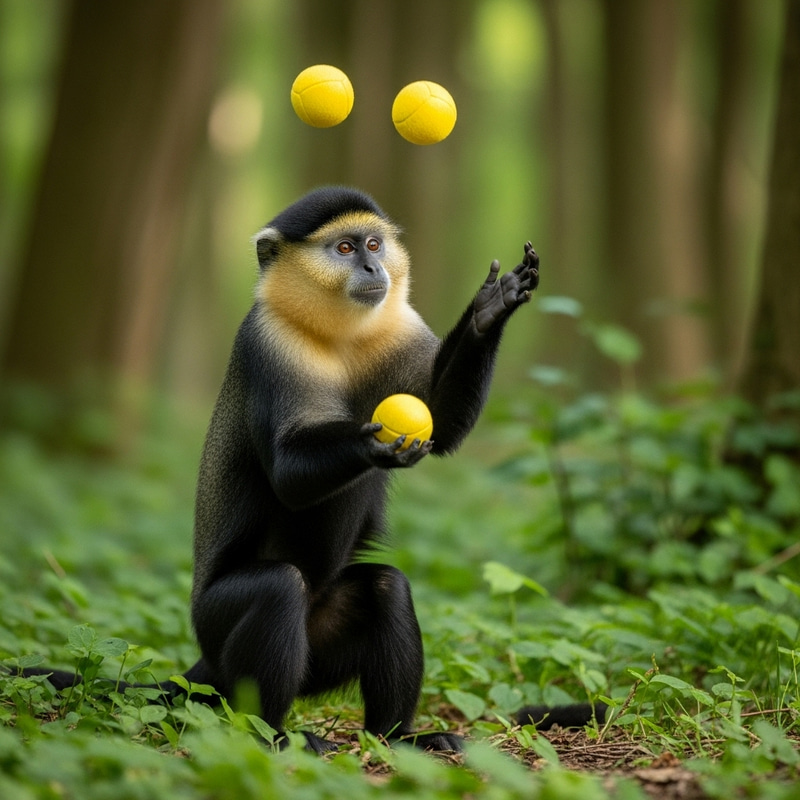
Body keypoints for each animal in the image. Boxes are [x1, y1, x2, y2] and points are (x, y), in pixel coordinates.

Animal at [13, 186, 603, 752]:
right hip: (220, 632)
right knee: (279, 588)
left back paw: (399, 736)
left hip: (319, 653)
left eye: (373, 245)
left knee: (387, 586)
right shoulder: (268, 343)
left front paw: (490, 309)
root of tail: (205, 667)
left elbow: (444, 420)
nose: (373, 269)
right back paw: (272, 734)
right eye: (343, 249)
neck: (338, 334)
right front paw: (373, 442)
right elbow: (289, 472)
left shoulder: (401, 326)